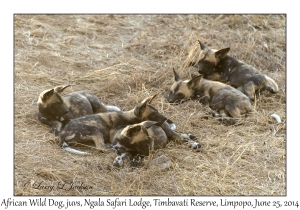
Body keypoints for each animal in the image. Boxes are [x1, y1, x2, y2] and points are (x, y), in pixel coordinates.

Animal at [59, 94, 200, 155]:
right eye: (153, 114)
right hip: (96, 131)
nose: (166, 118)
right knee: (101, 147)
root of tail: (62, 133)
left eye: (158, 111)